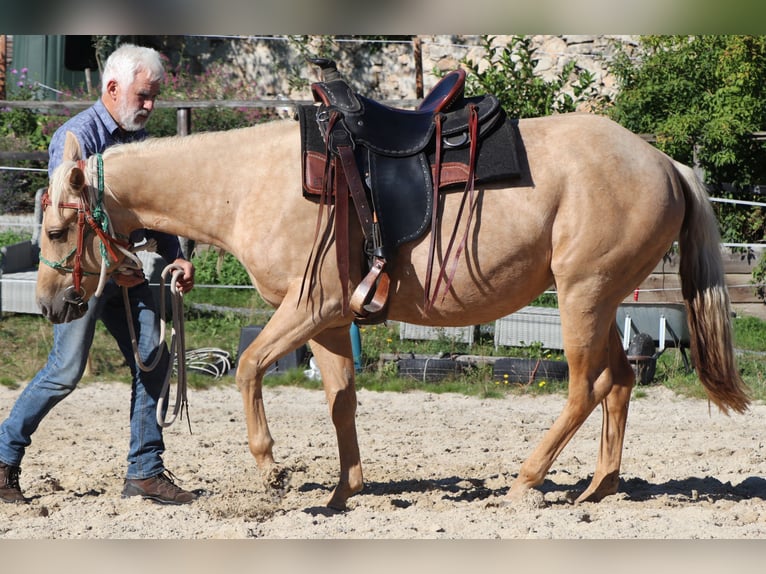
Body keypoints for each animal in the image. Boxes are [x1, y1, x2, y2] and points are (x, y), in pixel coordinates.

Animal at [36, 115, 752, 510]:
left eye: (55, 230)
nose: (50, 303)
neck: (250, 182)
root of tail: (664, 163)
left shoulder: (310, 305)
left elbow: (248, 367)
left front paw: (271, 469)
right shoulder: (328, 321)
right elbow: (341, 401)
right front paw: (343, 492)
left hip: (585, 295)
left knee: (583, 388)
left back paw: (526, 481)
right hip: (601, 301)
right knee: (619, 382)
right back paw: (597, 487)